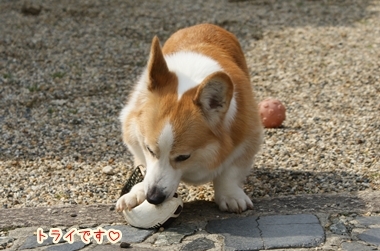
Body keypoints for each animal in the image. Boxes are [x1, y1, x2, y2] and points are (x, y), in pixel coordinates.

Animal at [116, 23, 262, 213]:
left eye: (183, 157)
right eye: (149, 150)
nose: (153, 198)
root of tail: (205, 25)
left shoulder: (247, 138)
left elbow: (229, 172)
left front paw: (231, 196)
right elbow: (145, 167)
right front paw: (136, 192)